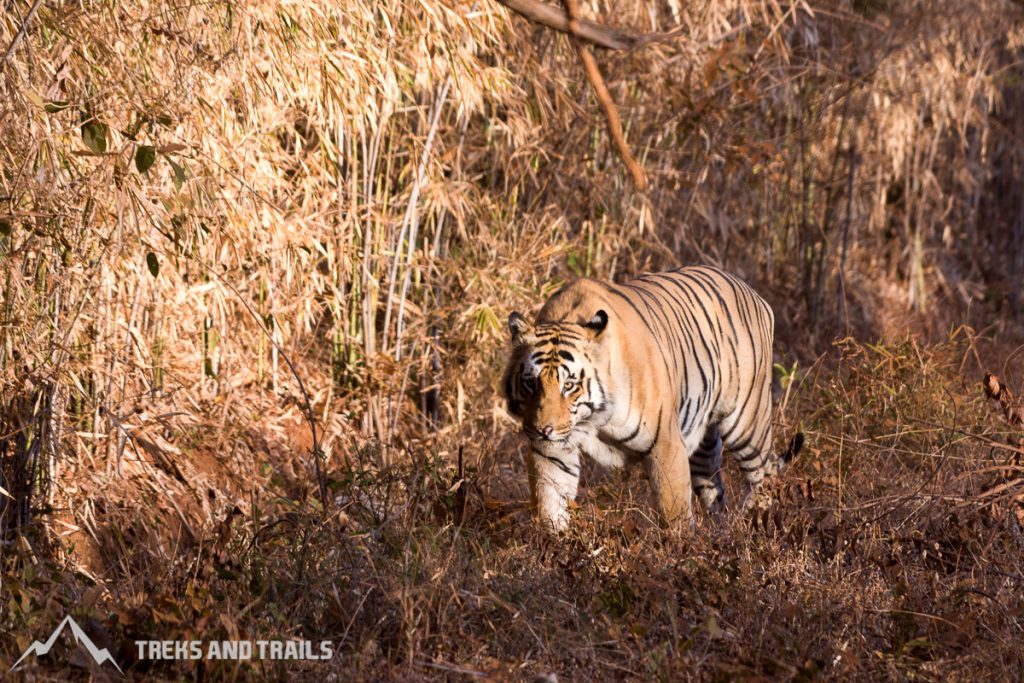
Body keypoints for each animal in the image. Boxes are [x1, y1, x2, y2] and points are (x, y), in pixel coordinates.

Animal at [503, 264, 798, 532]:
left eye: (569, 385)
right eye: (531, 383)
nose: (543, 430)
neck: (592, 418)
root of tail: (754, 293)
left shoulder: (665, 444)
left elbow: (674, 512)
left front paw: (680, 550)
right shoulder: (552, 451)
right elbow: (550, 504)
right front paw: (555, 547)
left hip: (747, 425)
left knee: (765, 475)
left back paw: (756, 524)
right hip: (703, 446)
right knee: (715, 489)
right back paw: (722, 533)